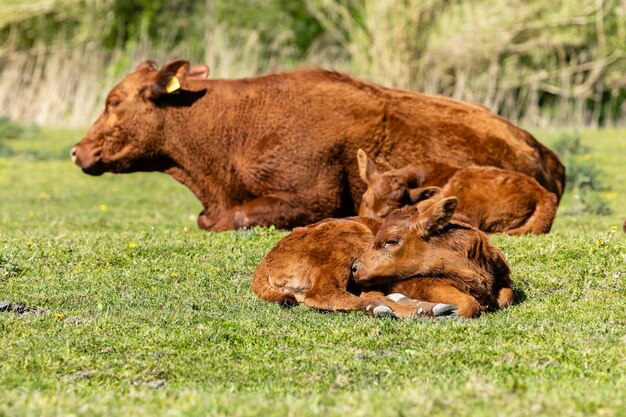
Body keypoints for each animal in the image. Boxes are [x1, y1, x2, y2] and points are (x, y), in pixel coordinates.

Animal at [251, 197, 516, 316]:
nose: (356, 267)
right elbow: (468, 304)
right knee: (324, 293)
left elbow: (507, 296)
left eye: (392, 241)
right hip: (350, 233)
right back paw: (416, 309)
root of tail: (266, 262)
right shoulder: (421, 282)